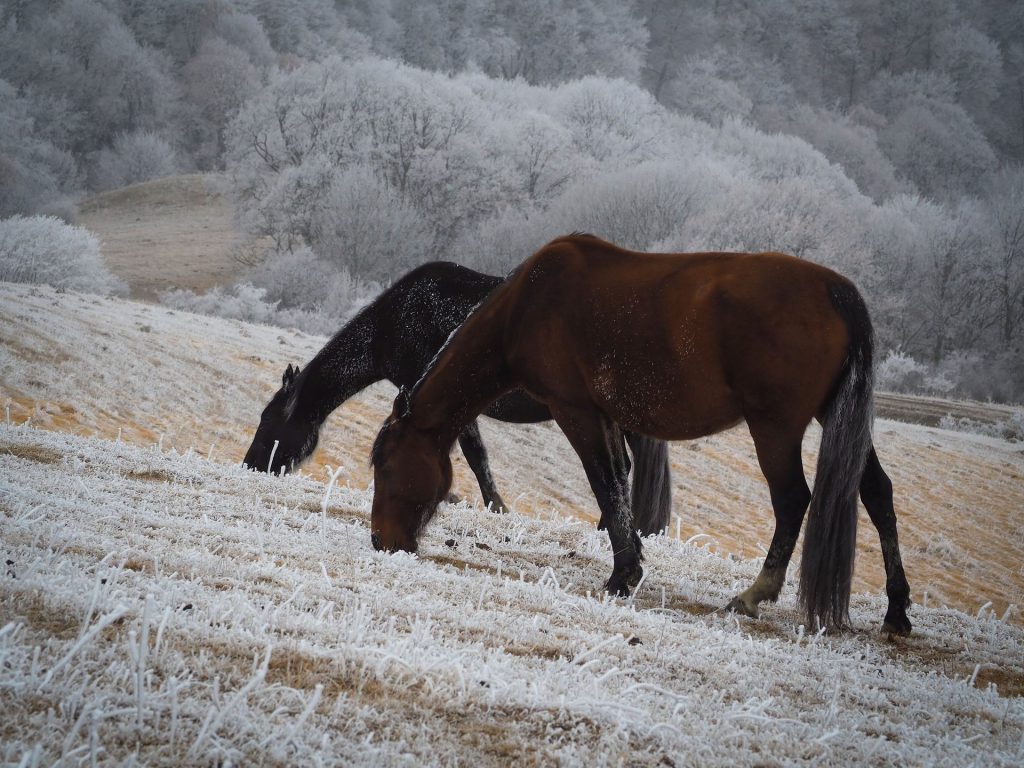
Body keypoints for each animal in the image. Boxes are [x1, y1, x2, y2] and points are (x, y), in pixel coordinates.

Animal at [239, 259, 671, 536]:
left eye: (267, 423)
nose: (250, 466)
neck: (392, 322)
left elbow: (475, 455)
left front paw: (494, 506)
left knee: (622, 468)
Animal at [368, 234, 913, 638]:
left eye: (387, 468)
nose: (380, 541)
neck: (529, 302)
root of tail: (835, 289)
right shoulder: (606, 417)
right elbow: (617, 486)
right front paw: (629, 564)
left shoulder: (576, 411)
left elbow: (605, 484)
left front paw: (622, 575)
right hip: (831, 419)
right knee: (877, 493)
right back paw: (897, 611)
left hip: (775, 429)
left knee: (793, 499)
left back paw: (754, 594)